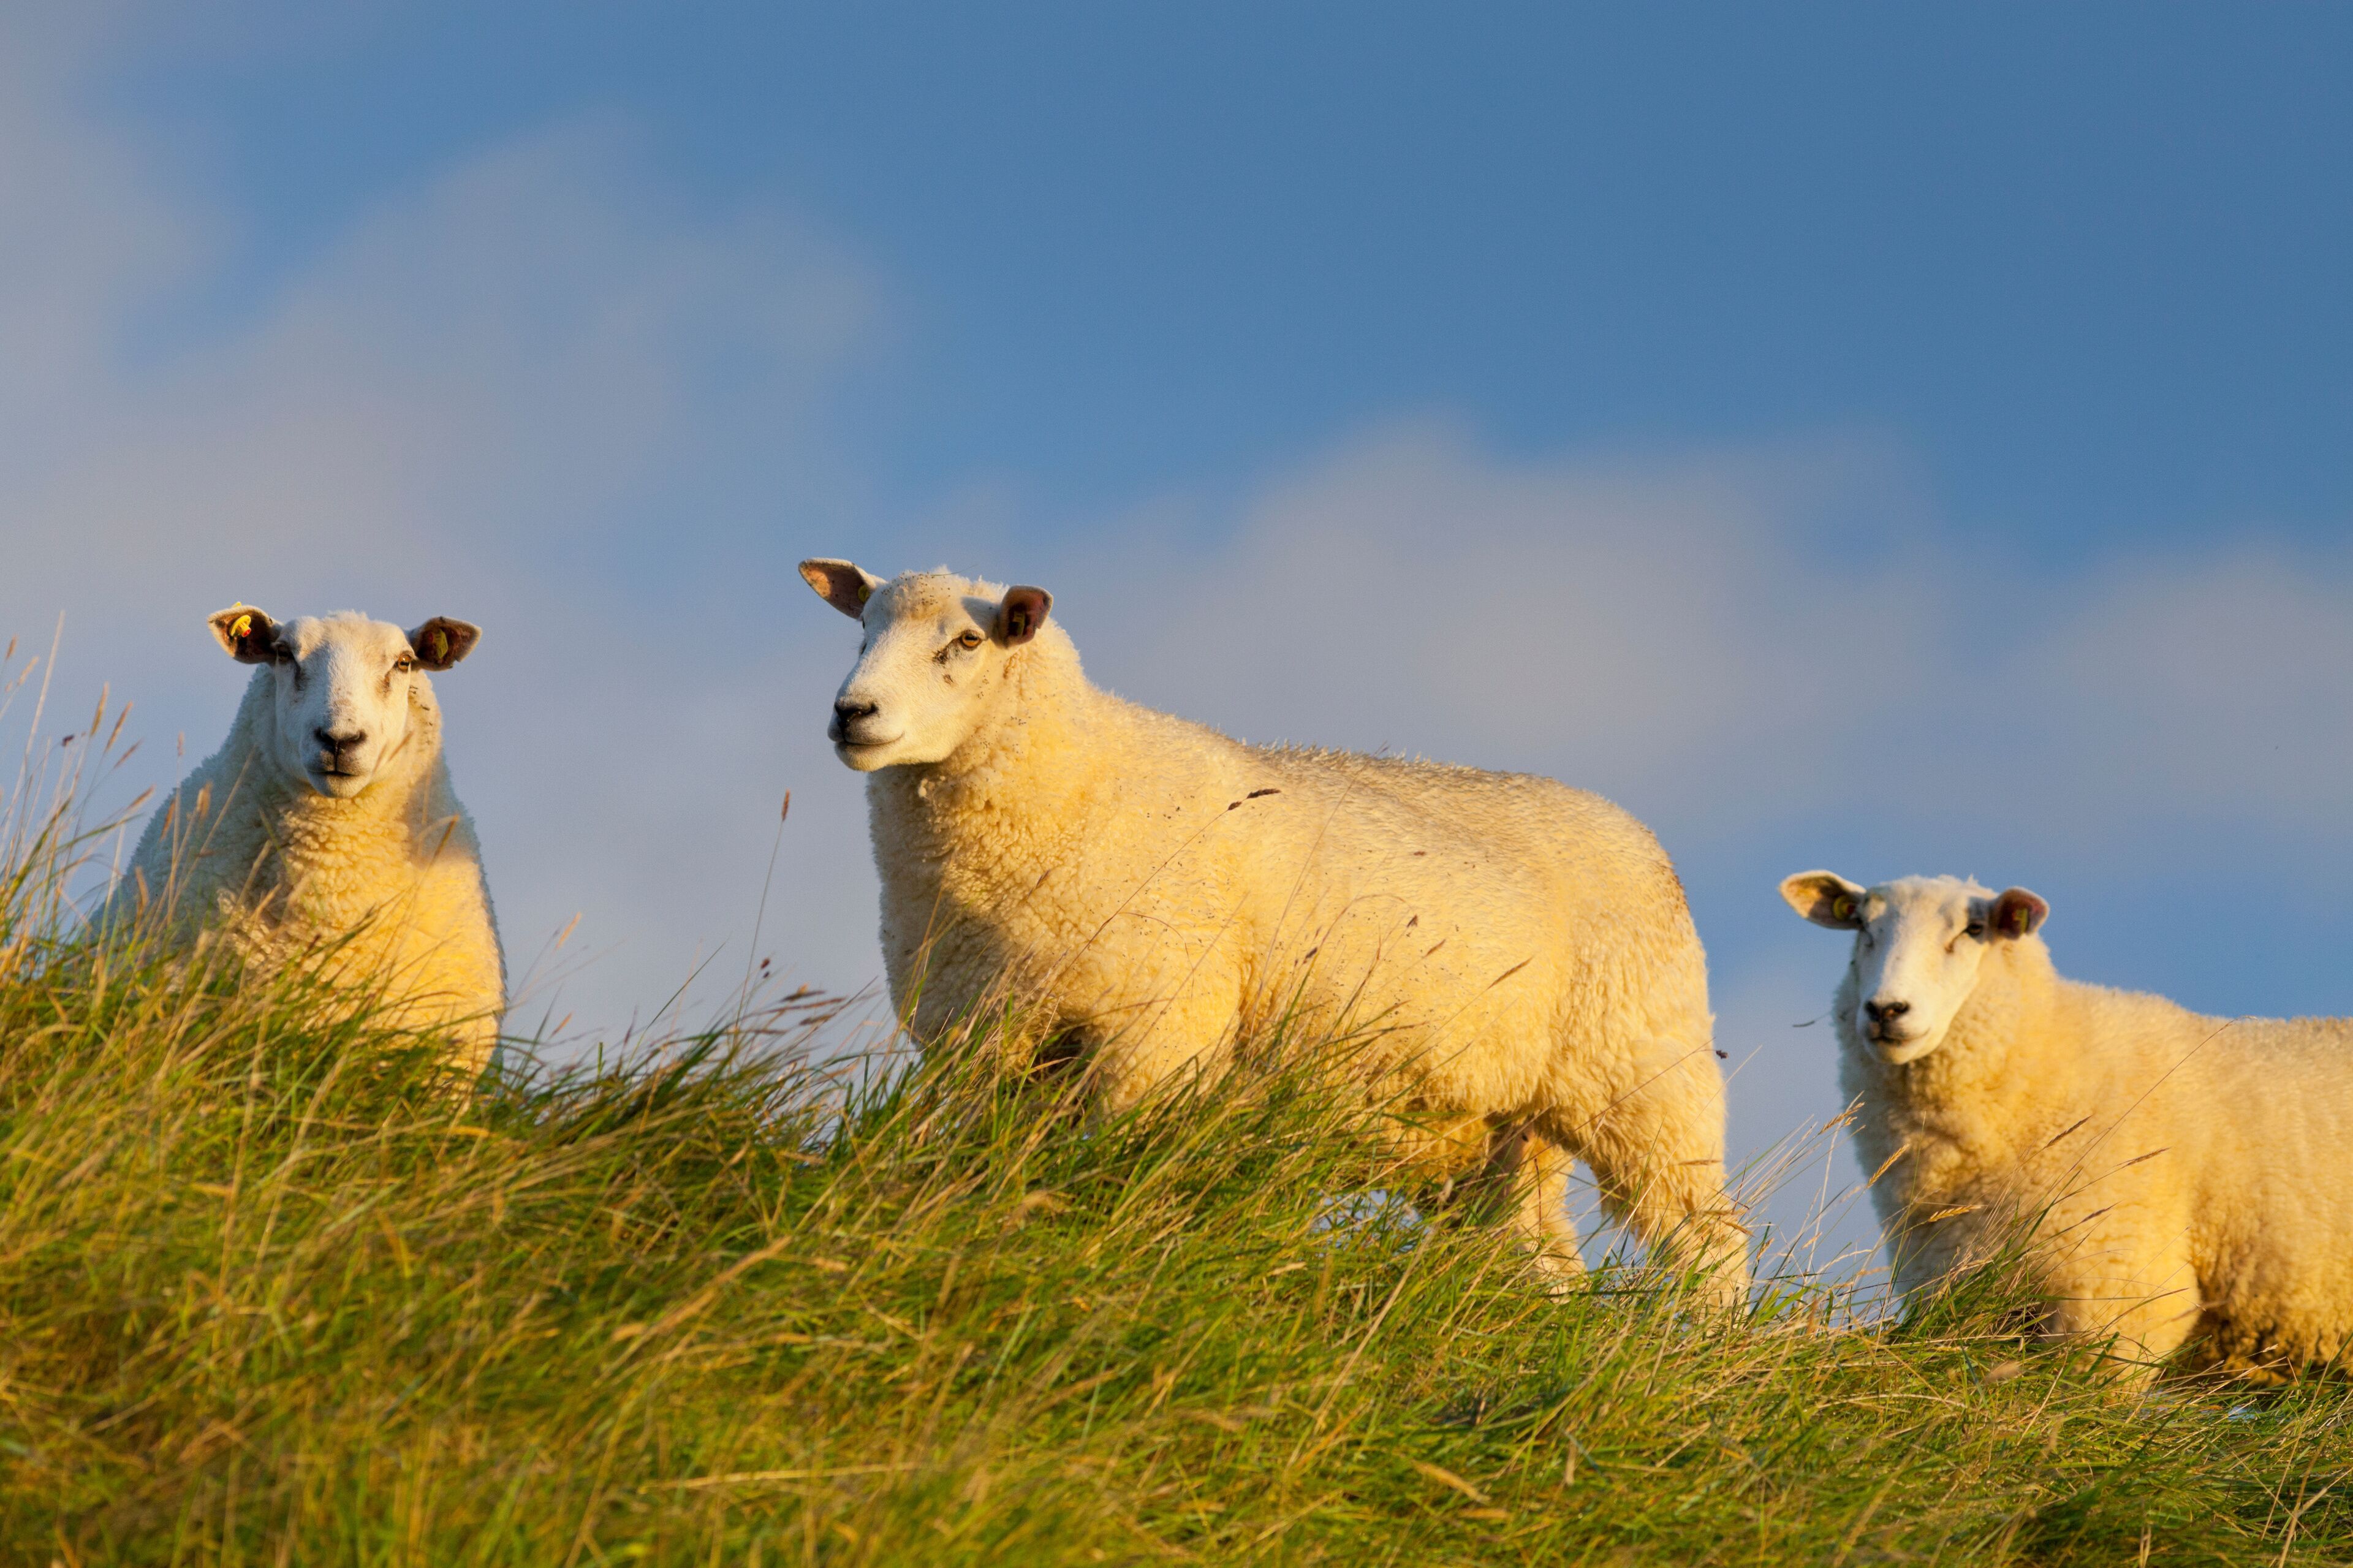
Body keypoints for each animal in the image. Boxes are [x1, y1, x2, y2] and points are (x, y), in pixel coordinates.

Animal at [800, 559, 1749, 1303]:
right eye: (861, 632)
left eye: (967, 643)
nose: (852, 712)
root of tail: (1643, 837)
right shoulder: (983, 1038)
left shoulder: (1158, 1033)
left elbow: (1119, 1165)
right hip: (1502, 1128)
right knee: (1538, 1255)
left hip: (1647, 1076)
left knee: (1710, 1240)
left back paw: (1708, 1354)